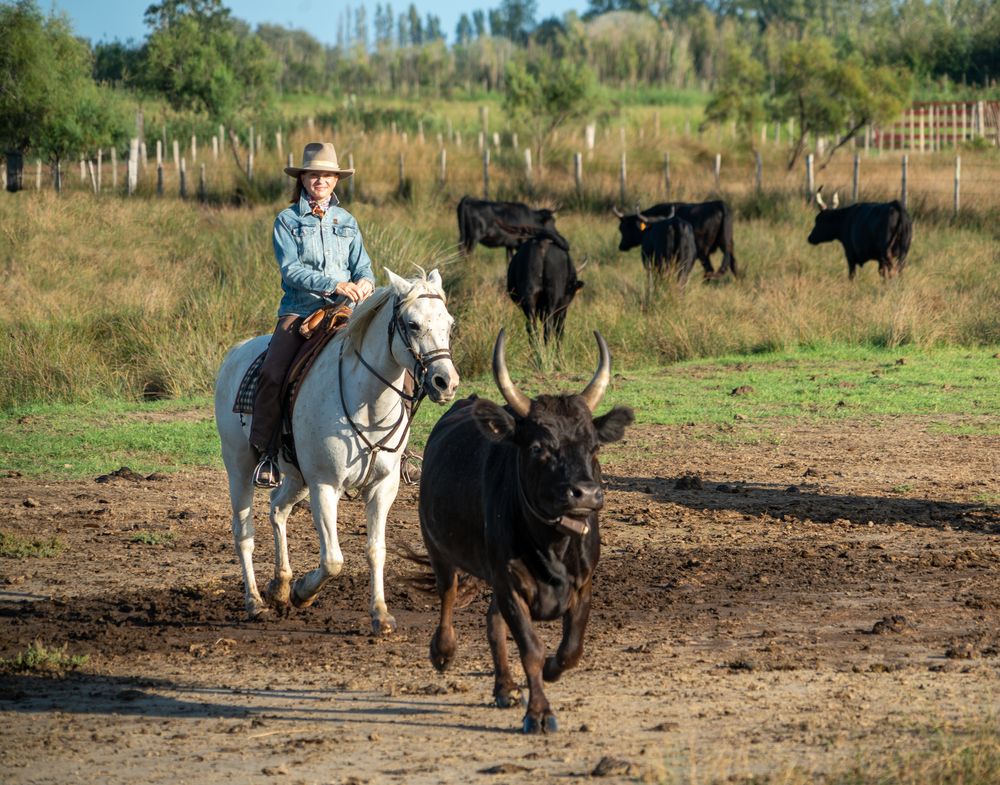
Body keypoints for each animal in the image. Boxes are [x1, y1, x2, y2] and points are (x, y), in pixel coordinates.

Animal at [215, 266, 460, 632]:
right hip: (240, 467)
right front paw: (304, 592)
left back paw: (279, 585)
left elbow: (376, 550)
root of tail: (236, 353)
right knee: (244, 532)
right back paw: (255, 602)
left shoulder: (382, 487)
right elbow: (333, 560)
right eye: (413, 324)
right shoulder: (325, 486)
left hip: (296, 478)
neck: (367, 403)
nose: (446, 382)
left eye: (449, 324)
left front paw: (380, 615)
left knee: (277, 509)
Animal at [416, 328, 632, 732]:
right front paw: (540, 713)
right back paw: (443, 651)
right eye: (537, 447)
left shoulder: (583, 583)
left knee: (491, 620)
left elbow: (571, 649)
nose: (585, 493)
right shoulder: (508, 582)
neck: (553, 546)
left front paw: (549, 671)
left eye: (594, 447)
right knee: (448, 594)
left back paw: (505, 686)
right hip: (438, 547)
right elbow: (530, 648)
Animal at [612, 199, 740, 278]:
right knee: (733, 264)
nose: (621, 246)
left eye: (623, 228)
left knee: (709, 269)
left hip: (703, 251)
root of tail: (719, 204)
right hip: (728, 244)